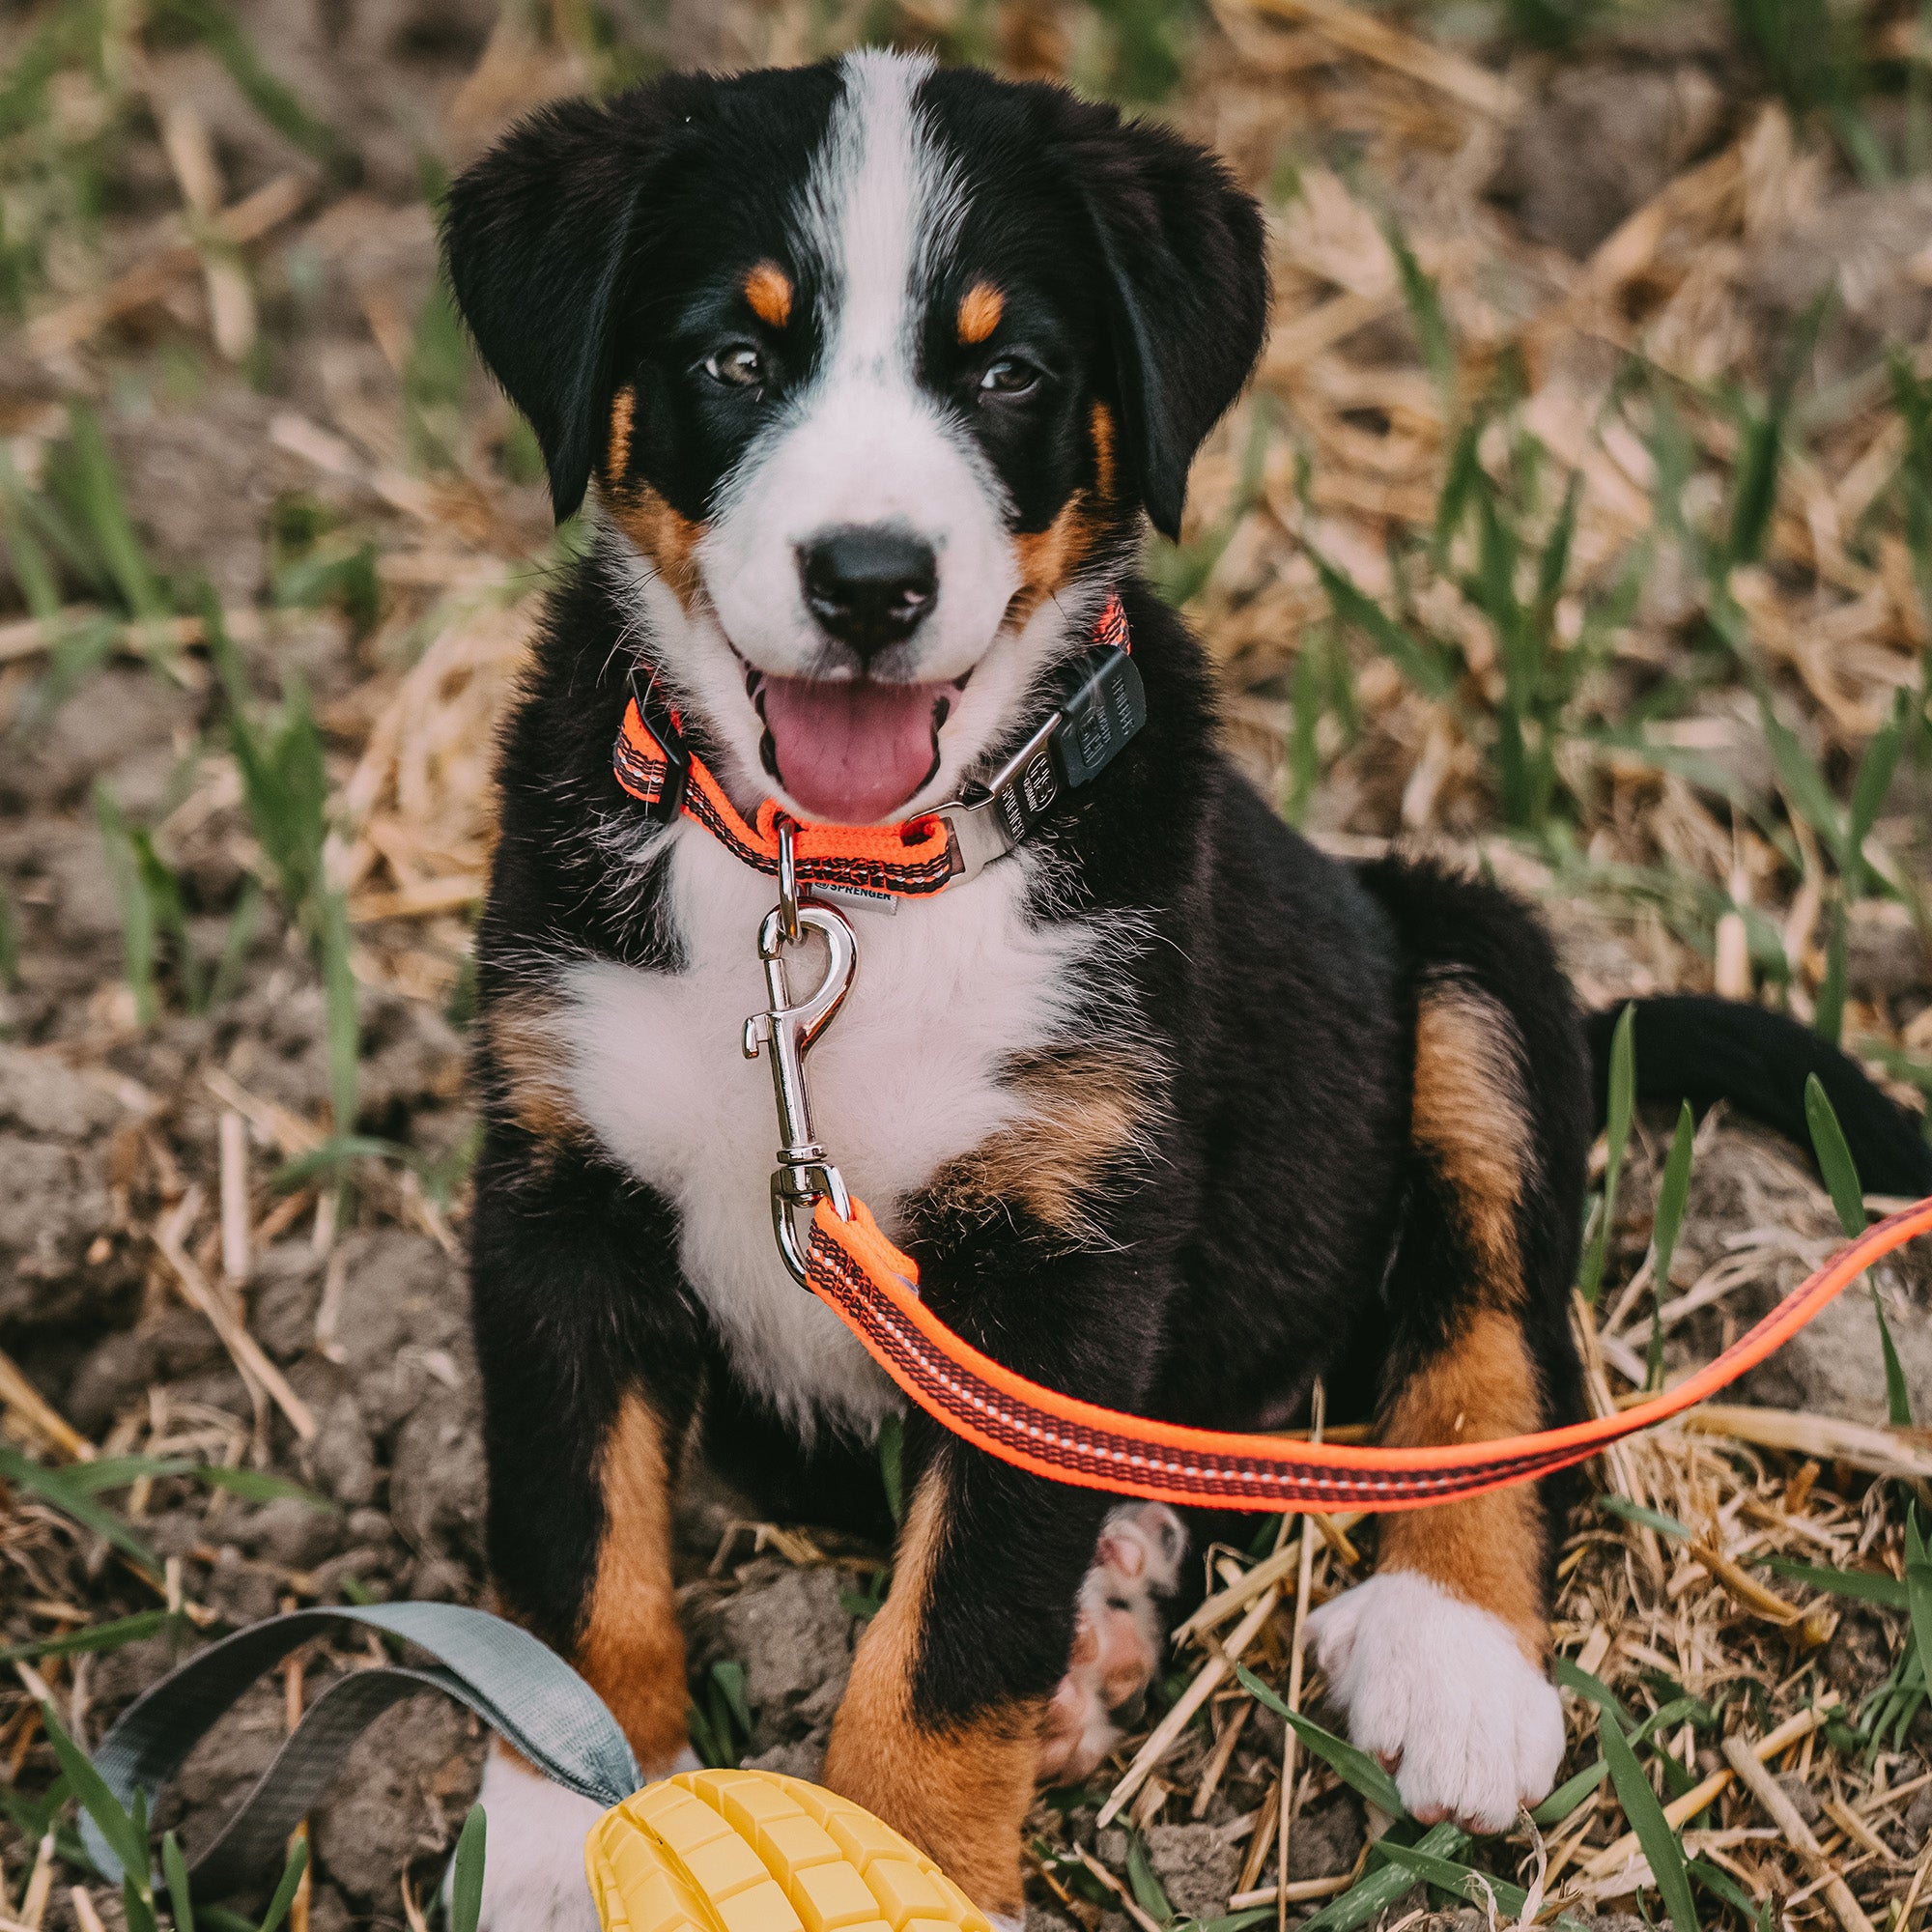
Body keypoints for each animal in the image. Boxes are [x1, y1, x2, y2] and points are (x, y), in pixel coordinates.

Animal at [442, 48, 1932, 1932]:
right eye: (735, 357)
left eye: (1009, 371)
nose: (871, 581)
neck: (834, 884)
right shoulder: (558, 1188)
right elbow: (577, 1558)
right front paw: (555, 1839)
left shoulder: (1067, 1256)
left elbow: (956, 1635)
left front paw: (909, 1853)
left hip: (1470, 958)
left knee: (1494, 1332)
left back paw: (1453, 1654)